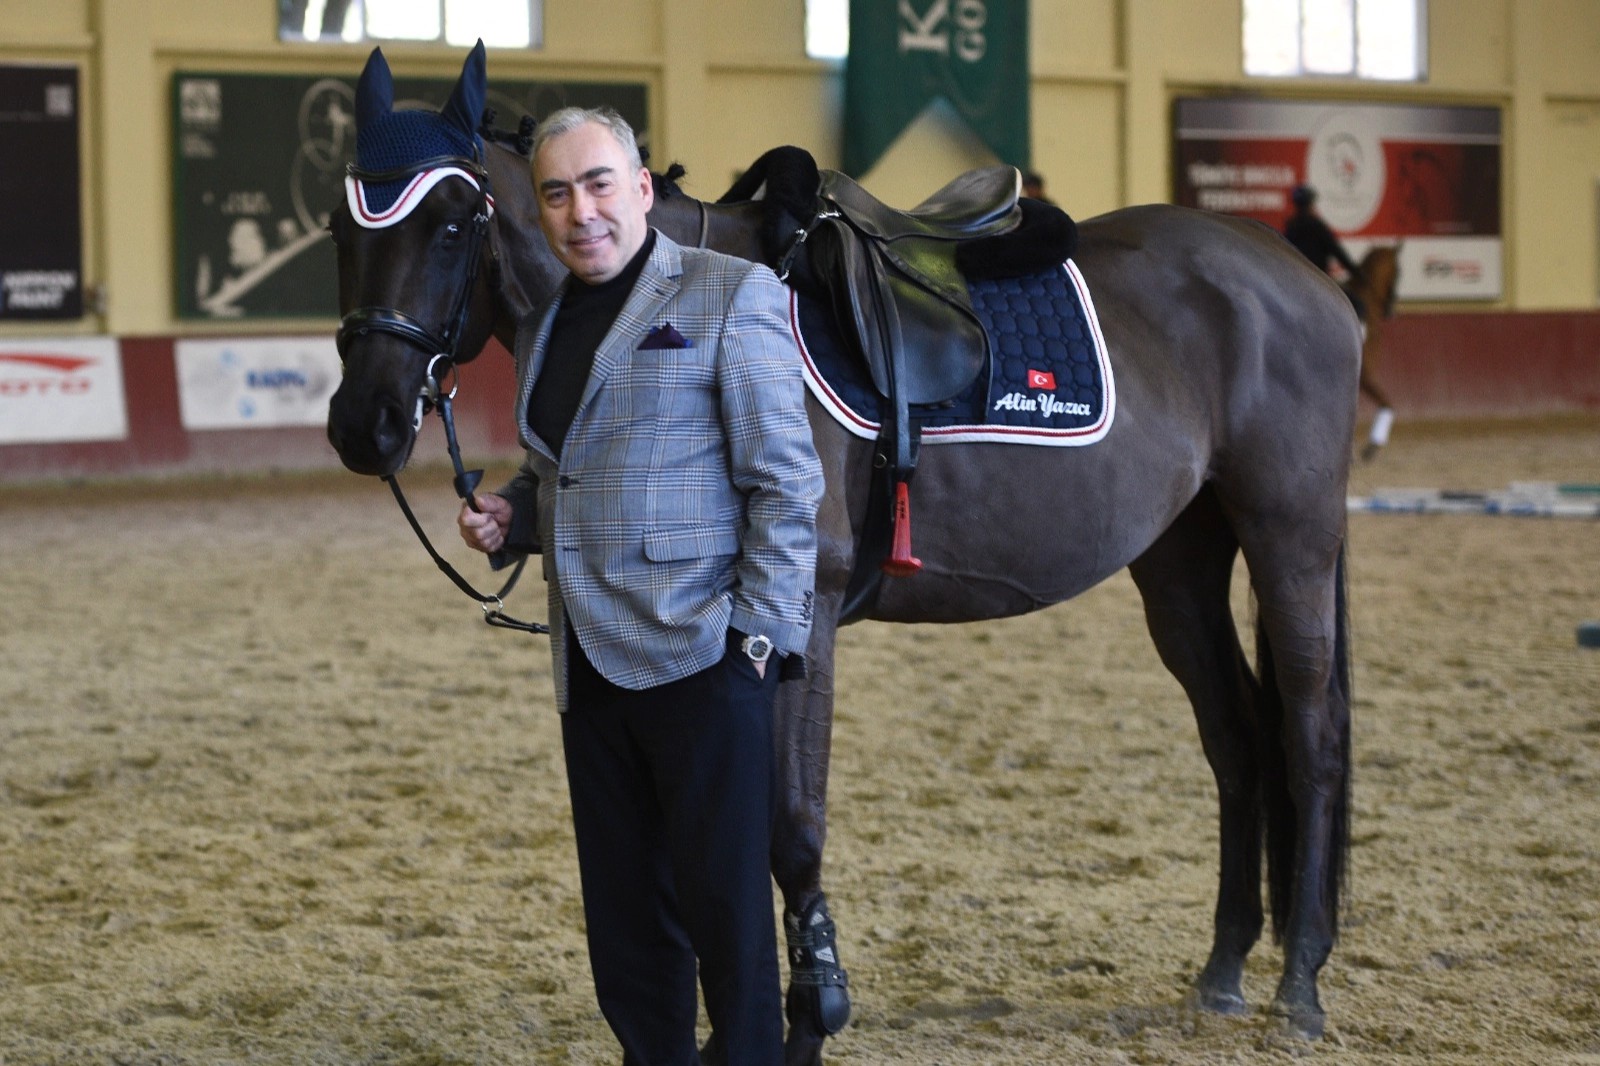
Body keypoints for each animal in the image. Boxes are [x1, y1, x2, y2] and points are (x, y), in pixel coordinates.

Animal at [321, 45, 1363, 1056]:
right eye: (341, 228)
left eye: (451, 224)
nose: (364, 425)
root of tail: (1308, 283)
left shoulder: (798, 615)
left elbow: (790, 828)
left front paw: (809, 1014)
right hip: (1179, 560)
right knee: (1236, 736)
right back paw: (1224, 970)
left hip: (1290, 537)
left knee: (1309, 734)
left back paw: (1301, 987)